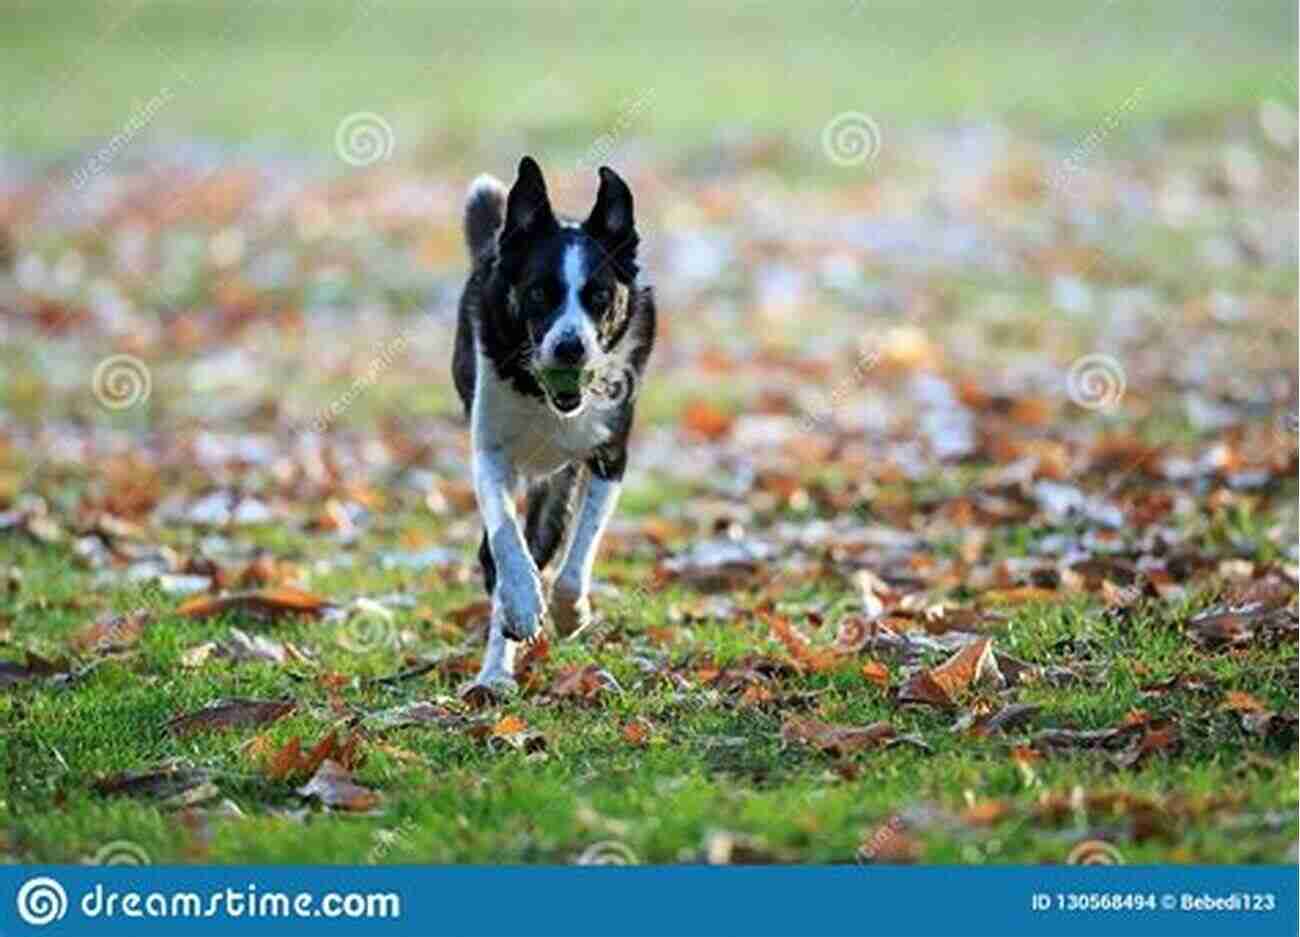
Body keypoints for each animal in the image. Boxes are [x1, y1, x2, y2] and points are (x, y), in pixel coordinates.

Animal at [454, 157, 655, 691]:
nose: (570, 347)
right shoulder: (490, 454)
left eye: (599, 295)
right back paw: (494, 674)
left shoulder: (610, 456)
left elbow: (581, 550)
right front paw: (524, 603)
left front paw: (569, 612)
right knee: (497, 560)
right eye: (540, 292)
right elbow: (507, 540)